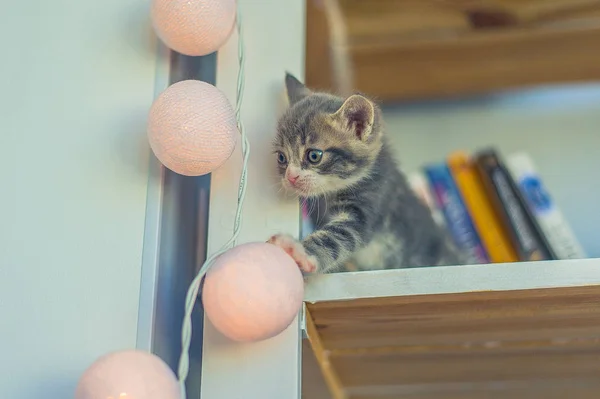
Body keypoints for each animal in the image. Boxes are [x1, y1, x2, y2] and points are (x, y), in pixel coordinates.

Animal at [268, 73, 464, 274]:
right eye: (282, 158)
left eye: (314, 155)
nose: (291, 177)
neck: (331, 193)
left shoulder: (368, 208)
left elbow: (335, 238)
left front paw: (300, 251)